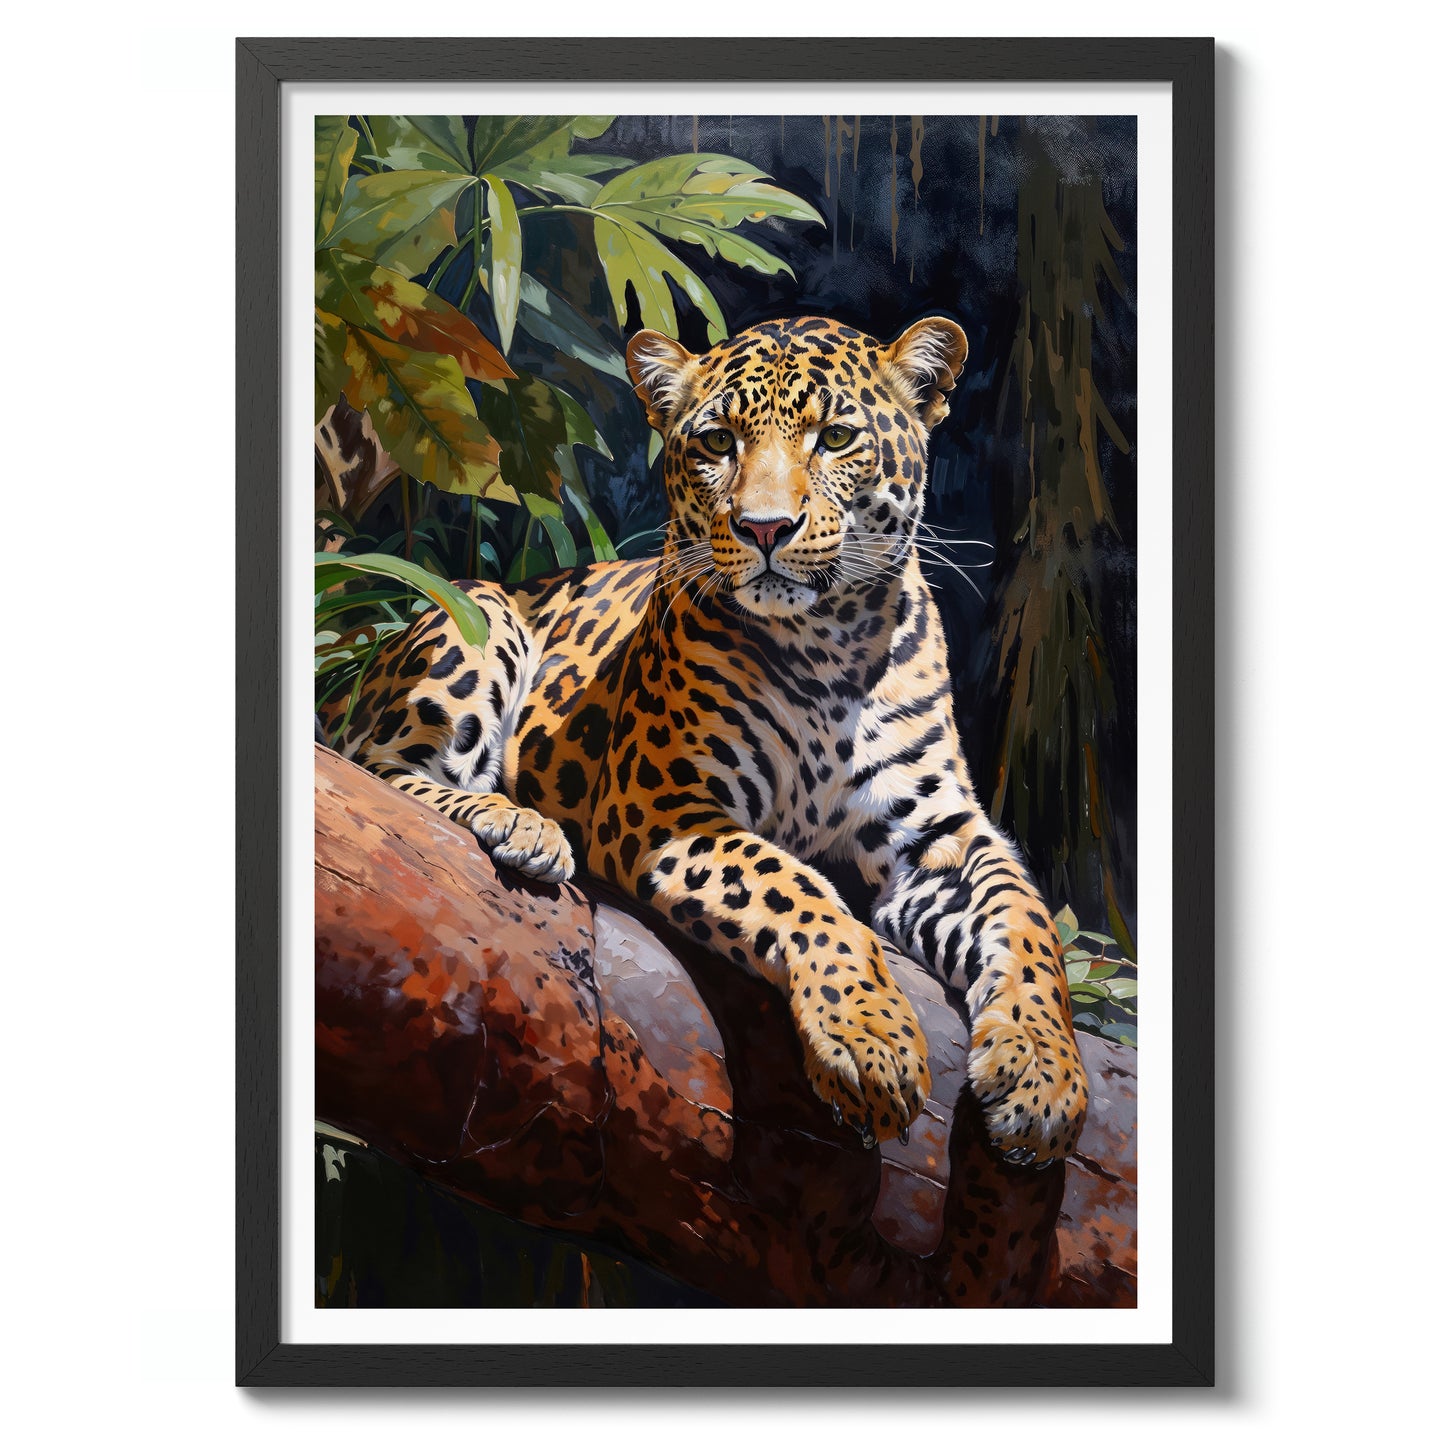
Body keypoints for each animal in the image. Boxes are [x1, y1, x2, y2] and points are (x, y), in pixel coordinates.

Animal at [320, 314, 1088, 1165]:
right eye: (717, 441)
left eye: (836, 437)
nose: (764, 527)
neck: (830, 647)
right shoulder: (662, 806)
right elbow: (796, 885)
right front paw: (867, 1037)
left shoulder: (939, 836)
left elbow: (1025, 921)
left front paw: (1042, 1076)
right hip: (480, 611)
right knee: (377, 767)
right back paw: (518, 823)